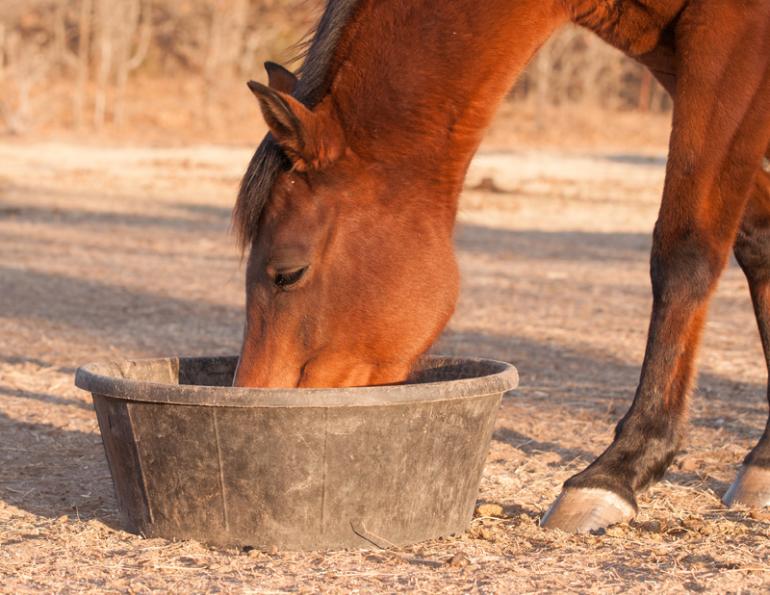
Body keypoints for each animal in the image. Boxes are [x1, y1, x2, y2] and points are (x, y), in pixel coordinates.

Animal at [232, 0, 770, 533]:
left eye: (287, 273)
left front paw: (618, 469)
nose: (255, 398)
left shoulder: (732, 38)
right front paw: (762, 461)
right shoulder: (678, 54)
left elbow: (685, 251)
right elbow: (757, 241)